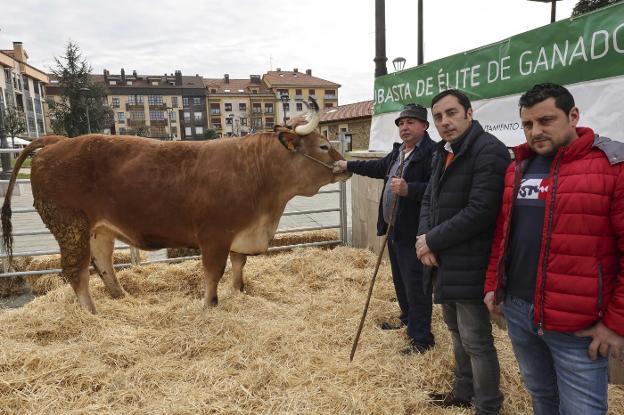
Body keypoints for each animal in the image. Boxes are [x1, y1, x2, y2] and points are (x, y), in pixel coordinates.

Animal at [0, 100, 348, 312]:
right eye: (323, 146)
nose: (345, 166)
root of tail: (57, 141)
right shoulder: (214, 237)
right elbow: (213, 273)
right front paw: (210, 304)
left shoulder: (242, 232)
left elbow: (239, 266)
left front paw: (240, 292)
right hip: (70, 226)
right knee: (76, 271)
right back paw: (92, 314)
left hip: (99, 229)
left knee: (102, 263)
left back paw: (122, 298)